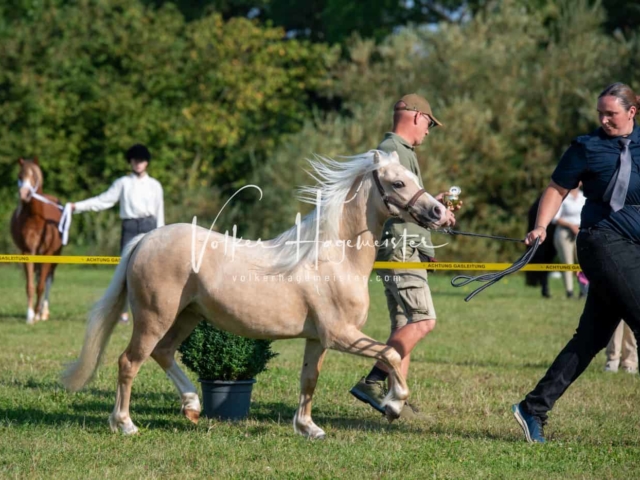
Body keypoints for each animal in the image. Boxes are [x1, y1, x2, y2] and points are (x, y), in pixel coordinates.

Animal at [10, 159, 63, 324]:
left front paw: (38, 314)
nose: (24, 194)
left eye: (34, 175)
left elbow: (41, 286)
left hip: (56, 256)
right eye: (20, 176)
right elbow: (30, 286)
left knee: (48, 280)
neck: (35, 218)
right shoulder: (27, 252)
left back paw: (43, 313)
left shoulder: (47, 254)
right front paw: (30, 316)